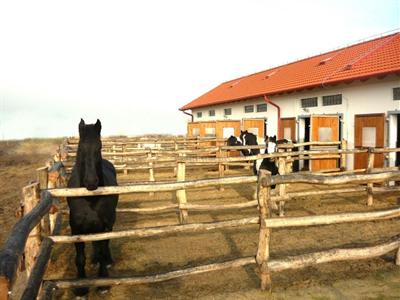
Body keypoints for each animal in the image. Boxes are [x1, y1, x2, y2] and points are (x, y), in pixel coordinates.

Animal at [67, 118, 119, 296]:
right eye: (81, 148)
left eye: (99, 147)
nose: (91, 182)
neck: (89, 198)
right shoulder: (76, 229)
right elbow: (79, 258)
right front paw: (81, 287)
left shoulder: (104, 226)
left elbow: (103, 250)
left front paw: (103, 283)